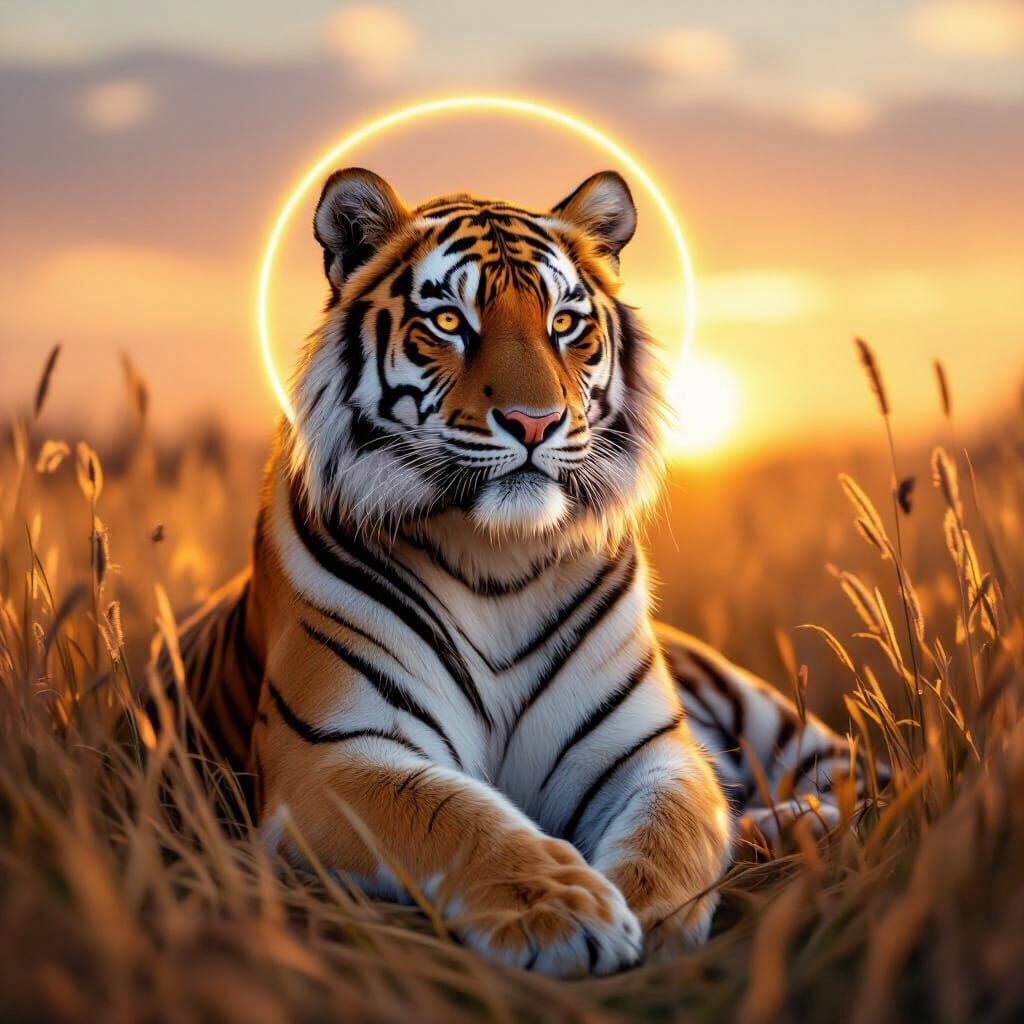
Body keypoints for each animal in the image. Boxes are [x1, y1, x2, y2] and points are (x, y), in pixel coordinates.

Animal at [164, 167, 877, 977]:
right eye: (449, 322)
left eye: (565, 324)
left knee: (861, 780)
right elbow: (453, 816)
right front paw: (561, 912)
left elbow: (673, 828)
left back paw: (795, 822)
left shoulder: (647, 749)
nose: (535, 422)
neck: (497, 559)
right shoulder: (333, 754)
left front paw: (652, 914)